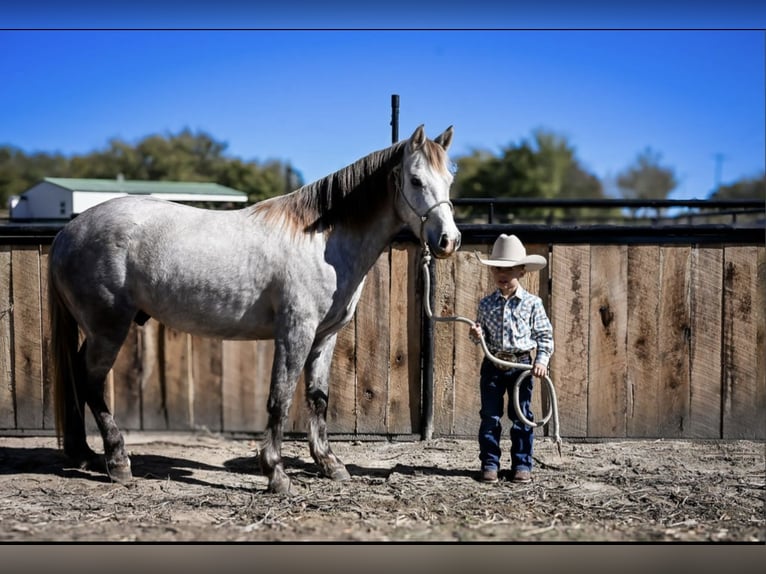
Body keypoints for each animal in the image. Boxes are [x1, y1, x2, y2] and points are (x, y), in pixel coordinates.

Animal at [48, 124, 461, 494]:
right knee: (91, 381)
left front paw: (330, 465)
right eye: (415, 180)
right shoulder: (295, 333)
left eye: (449, 181)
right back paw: (117, 462)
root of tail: (67, 233)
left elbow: (318, 398)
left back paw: (85, 455)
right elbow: (280, 398)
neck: (321, 241)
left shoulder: (324, 336)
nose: (448, 240)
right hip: (109, 328)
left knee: (77, 376)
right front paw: (276, 474)